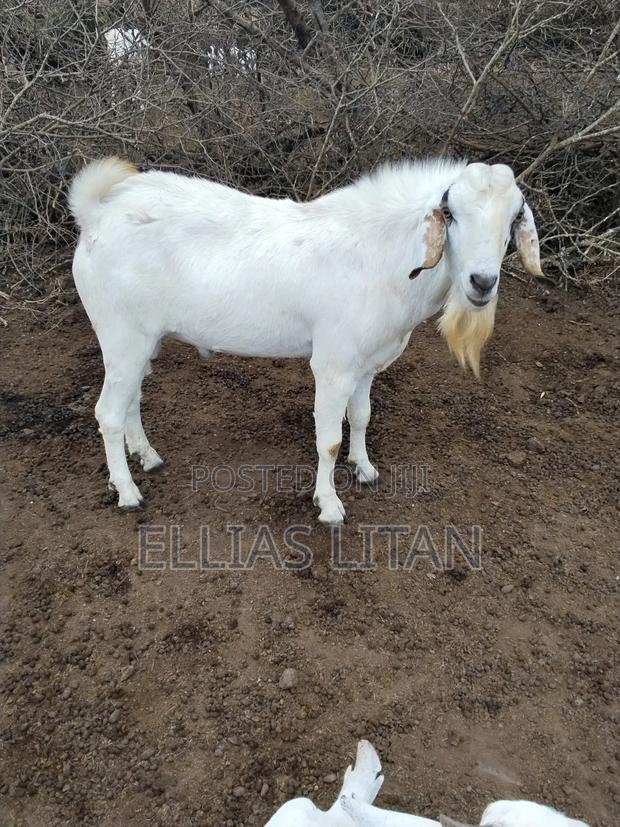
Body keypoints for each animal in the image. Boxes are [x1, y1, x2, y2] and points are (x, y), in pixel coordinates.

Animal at [69, 157, 542, 522]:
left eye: (513, 218)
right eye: (451, 214)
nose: (482, 281)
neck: (383, 257)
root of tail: (98, 215)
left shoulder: (366, 362)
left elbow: (363, 416)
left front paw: (364, 467)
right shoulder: (333, 364)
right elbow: (328, 439)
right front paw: (329, 504)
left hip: (142, 339)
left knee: (131, 398)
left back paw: (147, 457)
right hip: (120, 333)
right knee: (108, 412)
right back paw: (127, 492)